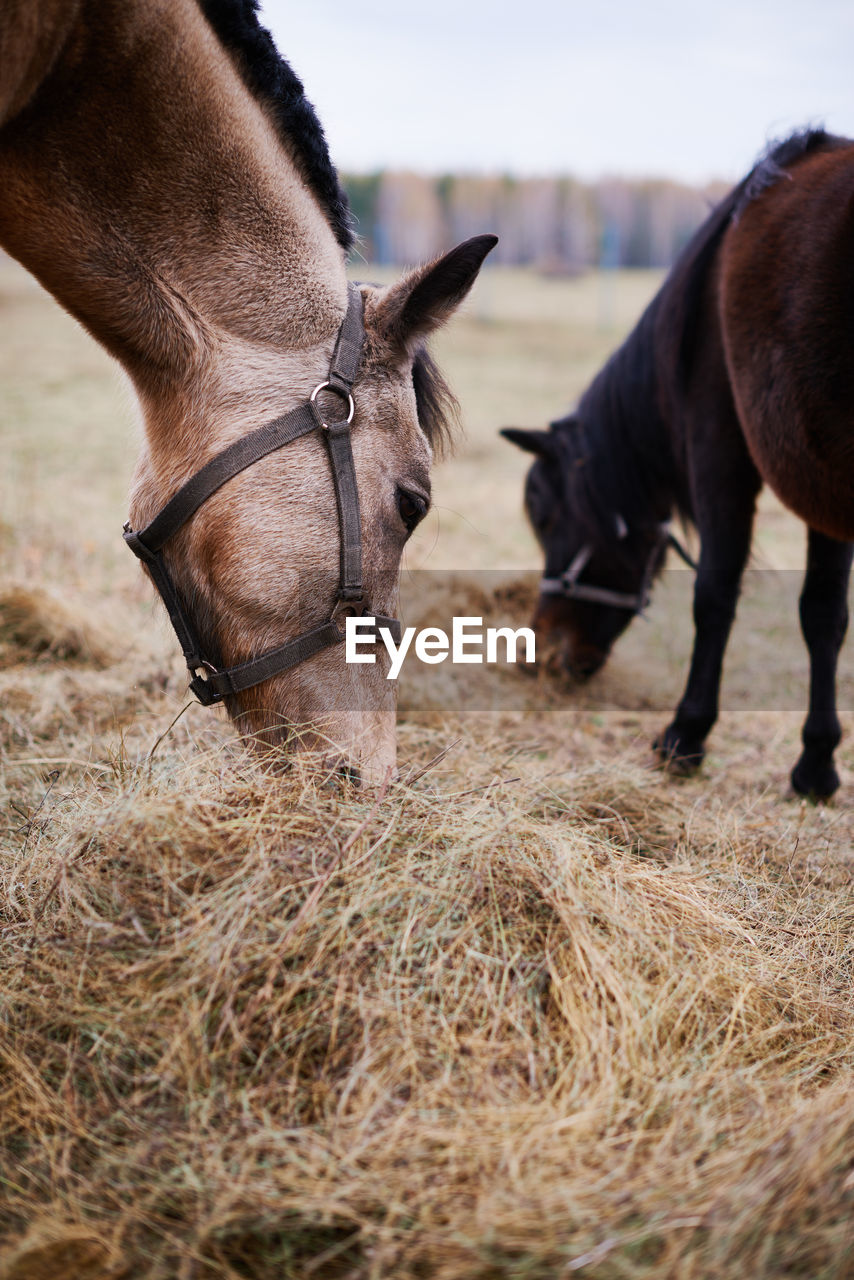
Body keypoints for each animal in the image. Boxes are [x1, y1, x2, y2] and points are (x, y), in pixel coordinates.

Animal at [504, 127, 854, 788]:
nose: (542, 651)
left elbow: (714, 595)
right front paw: (817, 761)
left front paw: (687, 733)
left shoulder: (721, 451)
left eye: (545, 516)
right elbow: (823, 613)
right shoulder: (820, 482)